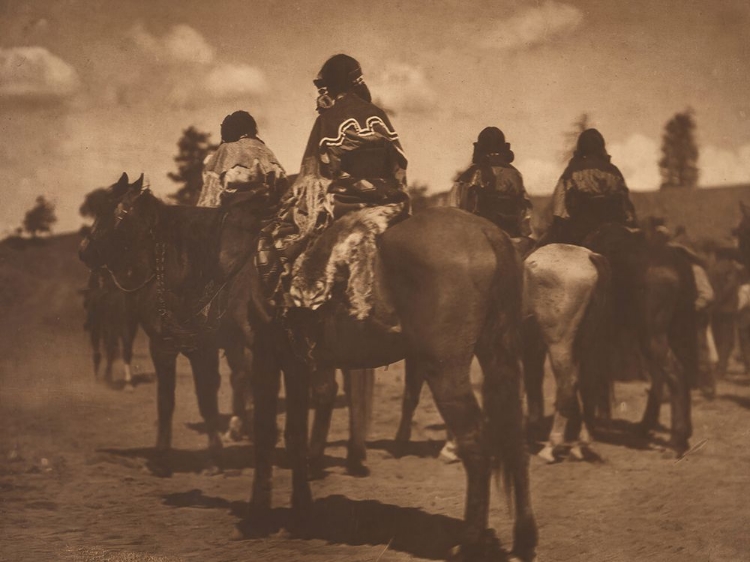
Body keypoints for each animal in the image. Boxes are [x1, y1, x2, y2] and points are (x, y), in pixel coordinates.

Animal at [98, 178, 536, 556]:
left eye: (110, 217)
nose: (88, 252)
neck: (239, 257)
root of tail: (489, 235)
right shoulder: (294, 363)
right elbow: (294, 433)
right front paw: (301, 512)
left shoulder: (260, 357)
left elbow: (265, 432)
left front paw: (258, 516)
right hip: (498, 355)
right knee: (513, 437)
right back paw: (523, 537)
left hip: (444, 368)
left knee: (476, 442)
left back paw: (472, 541)